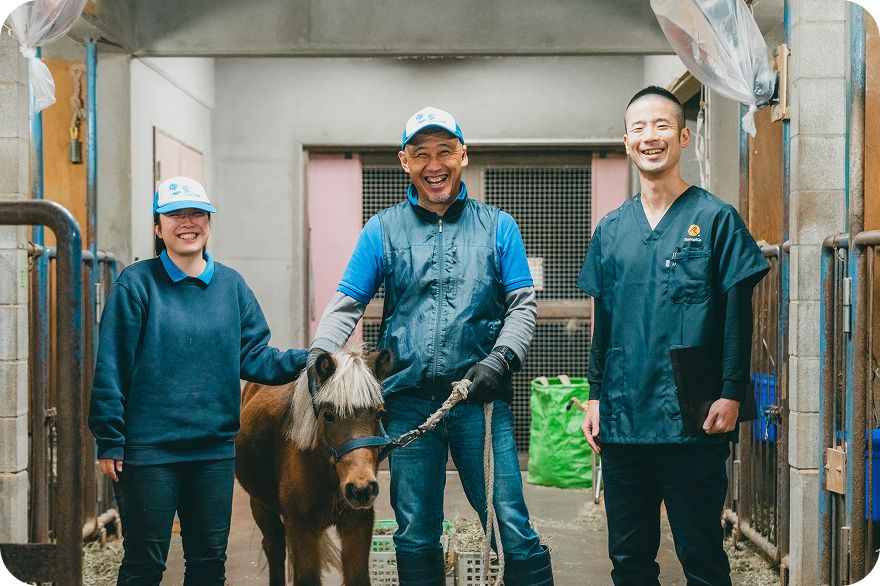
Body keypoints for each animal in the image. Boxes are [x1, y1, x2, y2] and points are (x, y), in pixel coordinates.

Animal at [236, 348, 392, 586]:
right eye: (328, 415)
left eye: (379, 413)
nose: (361, 489)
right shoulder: (302, 528)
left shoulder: (357, 524)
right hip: (260, 505)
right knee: (274, 547)